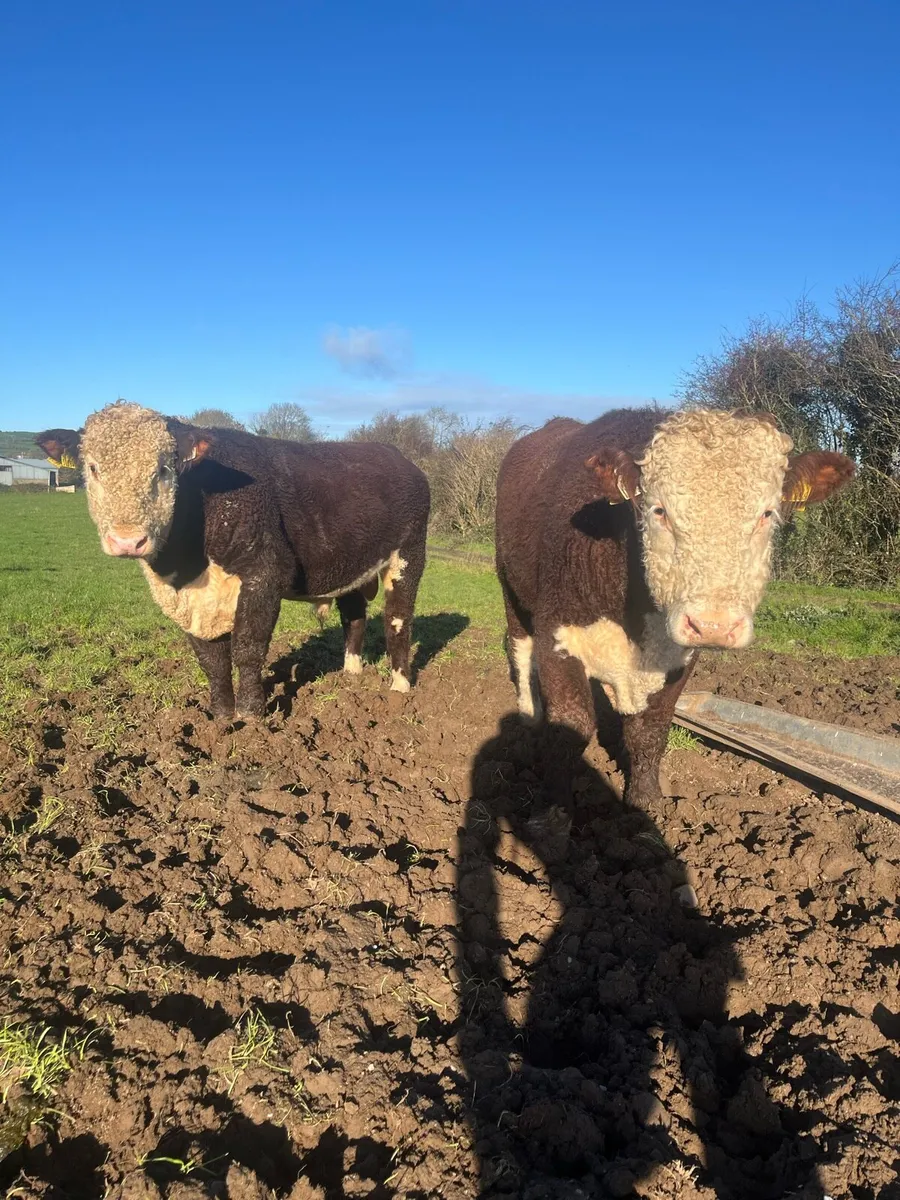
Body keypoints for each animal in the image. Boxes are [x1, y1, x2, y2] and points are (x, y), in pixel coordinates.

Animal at [37, 401, 430, 719]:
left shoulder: (265, 574)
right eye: (92, 468)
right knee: (354, 617)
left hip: (409, 555)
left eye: (163, 469)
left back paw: (399, 688)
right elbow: (212, 660)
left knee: (397, 620)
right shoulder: (190, 600)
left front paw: (252, 714)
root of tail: (399, 458)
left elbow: (248, 648)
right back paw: (351, 675)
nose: (127, 540)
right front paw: (222, 716)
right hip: (350, 565)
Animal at [495, 407, 855, 808]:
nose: (713, 626)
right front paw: (556, 806)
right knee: (519, 648)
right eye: (659, 510)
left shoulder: (677, 658)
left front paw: (646, 802)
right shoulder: (557, 634)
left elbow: (650, 730)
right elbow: (571, 725)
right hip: (509, 583)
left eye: (767, 513)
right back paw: (529, 715)